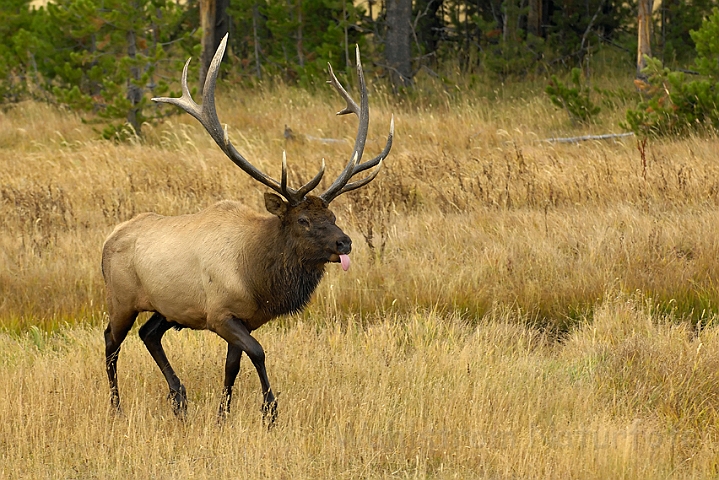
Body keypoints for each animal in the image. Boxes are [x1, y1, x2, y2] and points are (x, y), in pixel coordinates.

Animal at [102, 34, 394, 424]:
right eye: (302, 221)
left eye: (332, 217)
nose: (345, 243)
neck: (257, 276)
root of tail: (108, 240)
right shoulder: (220, 314)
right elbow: (258, 353)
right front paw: (270, 410)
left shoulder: (244, 319)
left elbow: (231, 366)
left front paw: (222, 415)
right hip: (122, 298)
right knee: (111, 341)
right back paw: (116, 405)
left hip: (167, 308)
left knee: (148, 334)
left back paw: (179, 397)